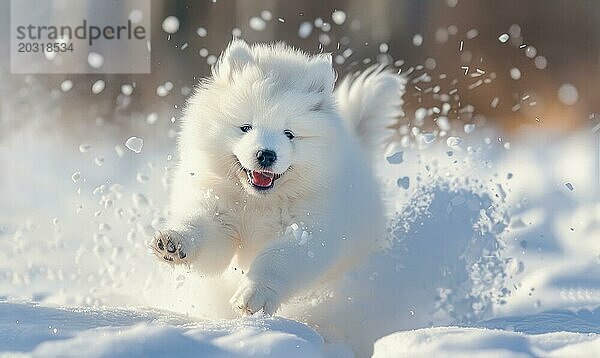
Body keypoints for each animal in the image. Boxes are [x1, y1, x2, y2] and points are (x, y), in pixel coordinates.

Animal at [155, 38, 406, 314]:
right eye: (246, 127)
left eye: (289, 134)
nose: (266, 154)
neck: (258, 203)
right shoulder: (217, 212)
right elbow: (200, 228)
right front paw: (172, 243)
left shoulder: (307, 233)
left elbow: (275, 260)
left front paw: (253, 296)